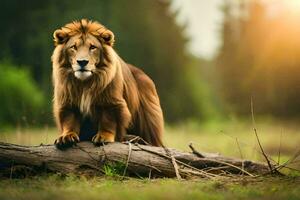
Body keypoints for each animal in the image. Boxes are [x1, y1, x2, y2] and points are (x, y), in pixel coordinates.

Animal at [51, 18, 164, 148]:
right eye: (73, 47)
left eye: (92, 47)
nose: (82, 62)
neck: (85, 83)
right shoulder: (68, 102)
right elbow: (69, 121)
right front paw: (66, 137)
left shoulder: (110, 102)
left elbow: (108, 120)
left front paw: (103, 137)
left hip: (148, 119)